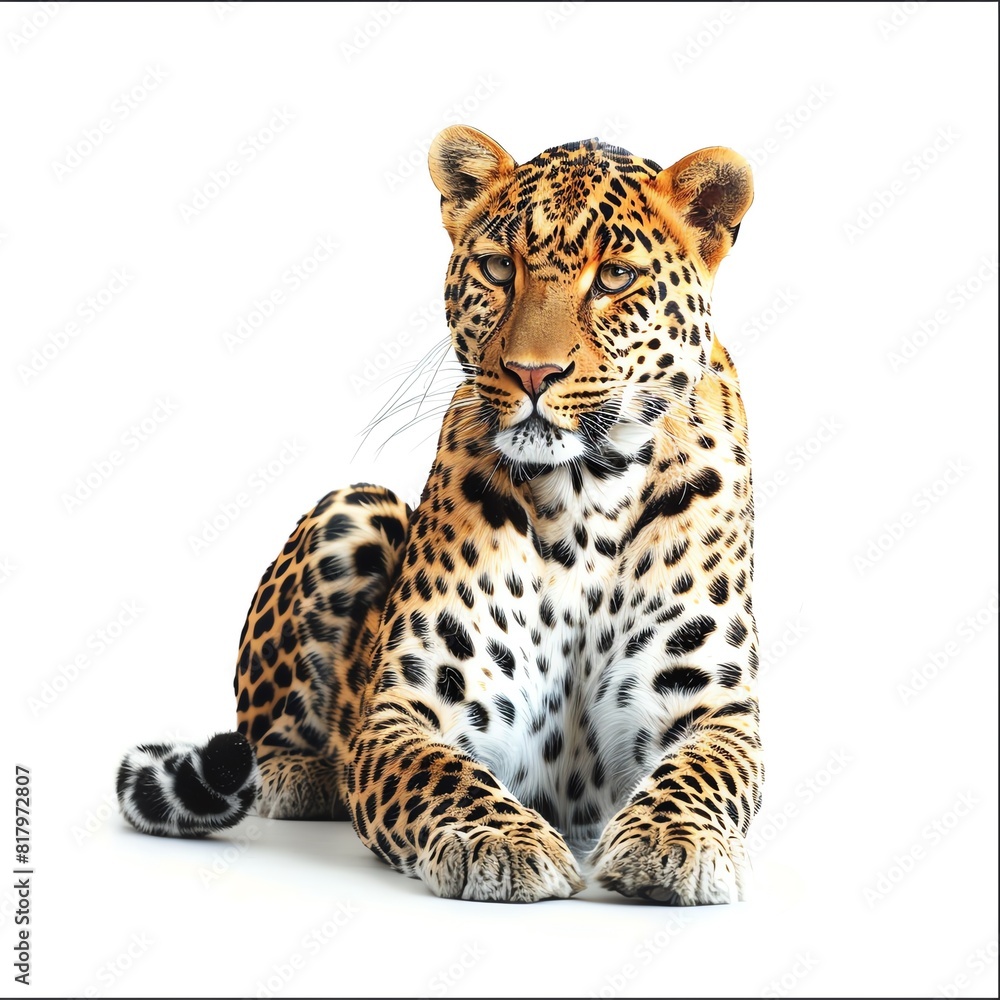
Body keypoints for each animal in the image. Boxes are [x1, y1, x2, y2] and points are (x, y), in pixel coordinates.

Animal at [118, 126, 762, 905]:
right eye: (497, 267)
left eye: (614, 278)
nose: (532, 373)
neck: (586, 493)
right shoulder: (406, 713)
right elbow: (445, 776)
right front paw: (502, 842)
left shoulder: (713, 709)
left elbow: (700, 775)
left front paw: (672, 844)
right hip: (352, 508)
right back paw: (300, 775)